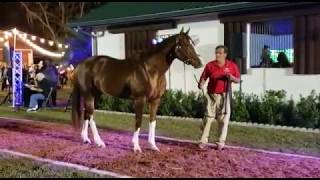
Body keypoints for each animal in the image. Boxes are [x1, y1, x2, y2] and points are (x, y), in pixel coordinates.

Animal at [72, 28, 202, 152]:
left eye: (192, 43)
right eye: (185, 44)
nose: (199, 63)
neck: (151, 70)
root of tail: (81, 64)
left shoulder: (155, 100)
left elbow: (153, 121)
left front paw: (153, 146)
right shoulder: (140, 99)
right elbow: (138, 121)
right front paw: (136, 147)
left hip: (96, 95)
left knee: (87, 114)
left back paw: (86, 139)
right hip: (89, 95)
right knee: (91, 115)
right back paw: (99, 142)